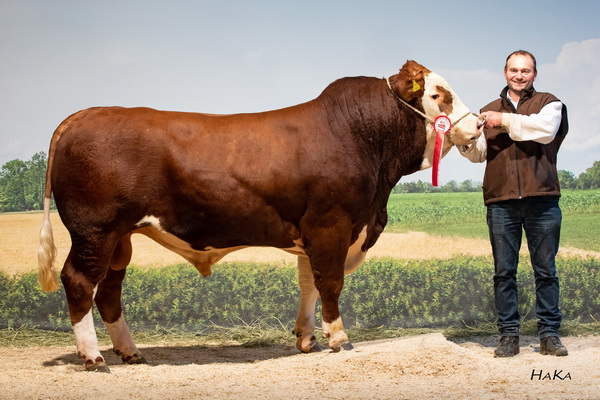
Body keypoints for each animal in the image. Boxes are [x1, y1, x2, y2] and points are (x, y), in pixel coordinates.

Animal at [38, 59, 482, 372]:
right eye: (439, 96)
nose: (478, 125)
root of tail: (82, 115)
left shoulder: (312, 231)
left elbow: (308, 284)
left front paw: (306, 339)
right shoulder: (331, 224)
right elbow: (330, 282)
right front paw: (338, 338)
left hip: (121, 238)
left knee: (109, 290)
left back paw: (130, 353)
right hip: (95, 230)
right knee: (79, 281)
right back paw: (94, 358)